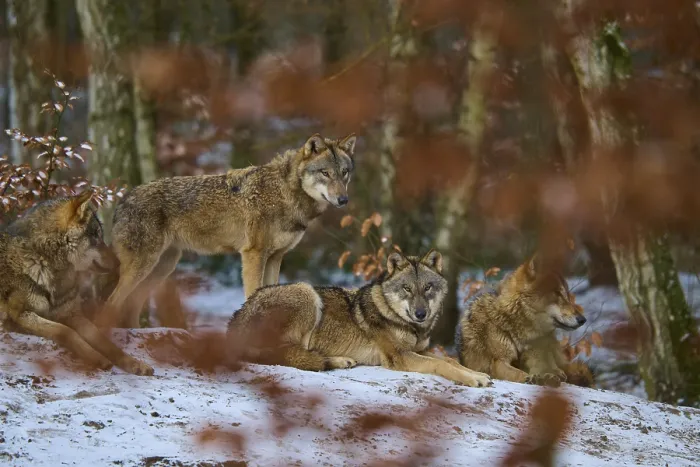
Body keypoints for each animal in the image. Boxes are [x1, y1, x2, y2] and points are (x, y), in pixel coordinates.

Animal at [0, 191, 154, 375]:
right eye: (96, 237)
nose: (119, 263)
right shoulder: (20, 315)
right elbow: (65, 331)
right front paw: (97, 358)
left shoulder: (72, 314)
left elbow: (103, 340)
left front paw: (135, 363)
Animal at [106, 133, 356, 328]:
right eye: (325, 173)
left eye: (344, 172)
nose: (344, 200)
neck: (285, 193)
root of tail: (122, 200)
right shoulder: (253, 254)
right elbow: (253, 293)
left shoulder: (276, 257)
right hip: (144, 267)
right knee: (111, 303)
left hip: (163, 267)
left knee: (129, 306)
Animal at [227, 249, 492, 388]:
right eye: (407, 288)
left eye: (428, 287)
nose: (421, 314)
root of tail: (235, 321)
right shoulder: (399, 357)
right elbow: (442, 365)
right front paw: (473, 379)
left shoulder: (420, 349)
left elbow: (450, 361)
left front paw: (477, 374)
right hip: (306, 292)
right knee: (288, 356)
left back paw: (340, 360)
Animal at [457, 255, 590, 387]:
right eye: (557, 293)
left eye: (567, 295)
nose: (583, 320)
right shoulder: (498, 362)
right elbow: (519, 373)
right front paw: (533, 378)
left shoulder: (534, 357)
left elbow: (538, 367)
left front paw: (546, 376)